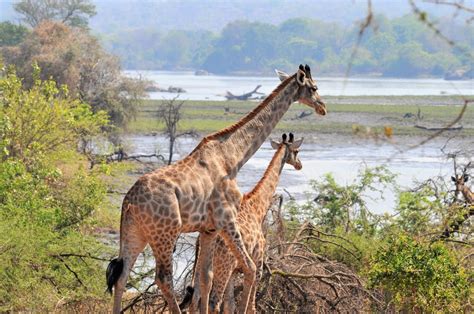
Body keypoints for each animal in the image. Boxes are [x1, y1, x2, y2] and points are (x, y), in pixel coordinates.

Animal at [185, 133, 304, 314]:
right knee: (214, 302)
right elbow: (250, 307)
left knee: (196, 298)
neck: (258, 207)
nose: (299, 165)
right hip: (223, 266)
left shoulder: (235, 271)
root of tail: (199, 239)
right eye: (296, 151)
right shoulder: (258, 263)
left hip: (202, 266)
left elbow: (230, 305)